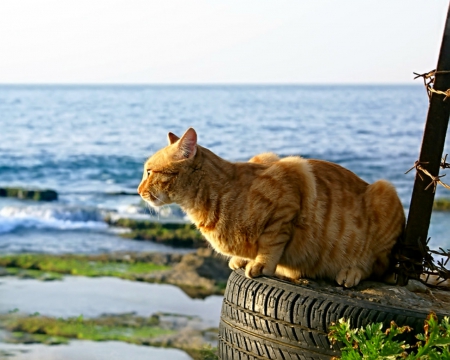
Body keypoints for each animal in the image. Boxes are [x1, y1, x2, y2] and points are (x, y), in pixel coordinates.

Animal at [136, 126, 404, 286]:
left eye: (149, 172)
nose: (138, 191)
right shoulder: (267, 157)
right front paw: (242, 259)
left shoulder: (293, 182)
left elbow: (271, 241)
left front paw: (262, 263)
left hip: (385, 193)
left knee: (376, 268)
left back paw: (351, 272)